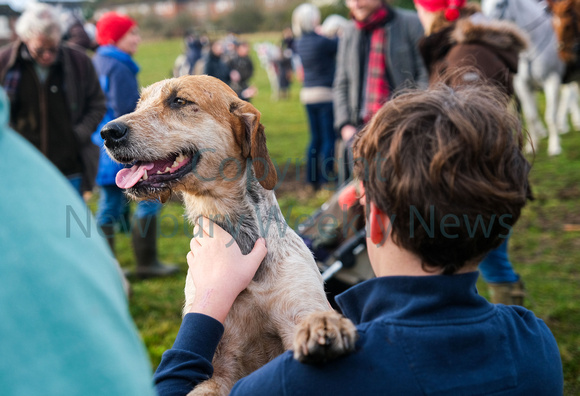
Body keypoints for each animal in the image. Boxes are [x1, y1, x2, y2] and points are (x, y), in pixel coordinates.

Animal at [102, 75, 358, 396]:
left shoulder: (298, 307)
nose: (107, 132)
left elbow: (311, 316)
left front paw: (324, 325)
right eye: (140, 104)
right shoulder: (216, 364)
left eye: (179, 101)